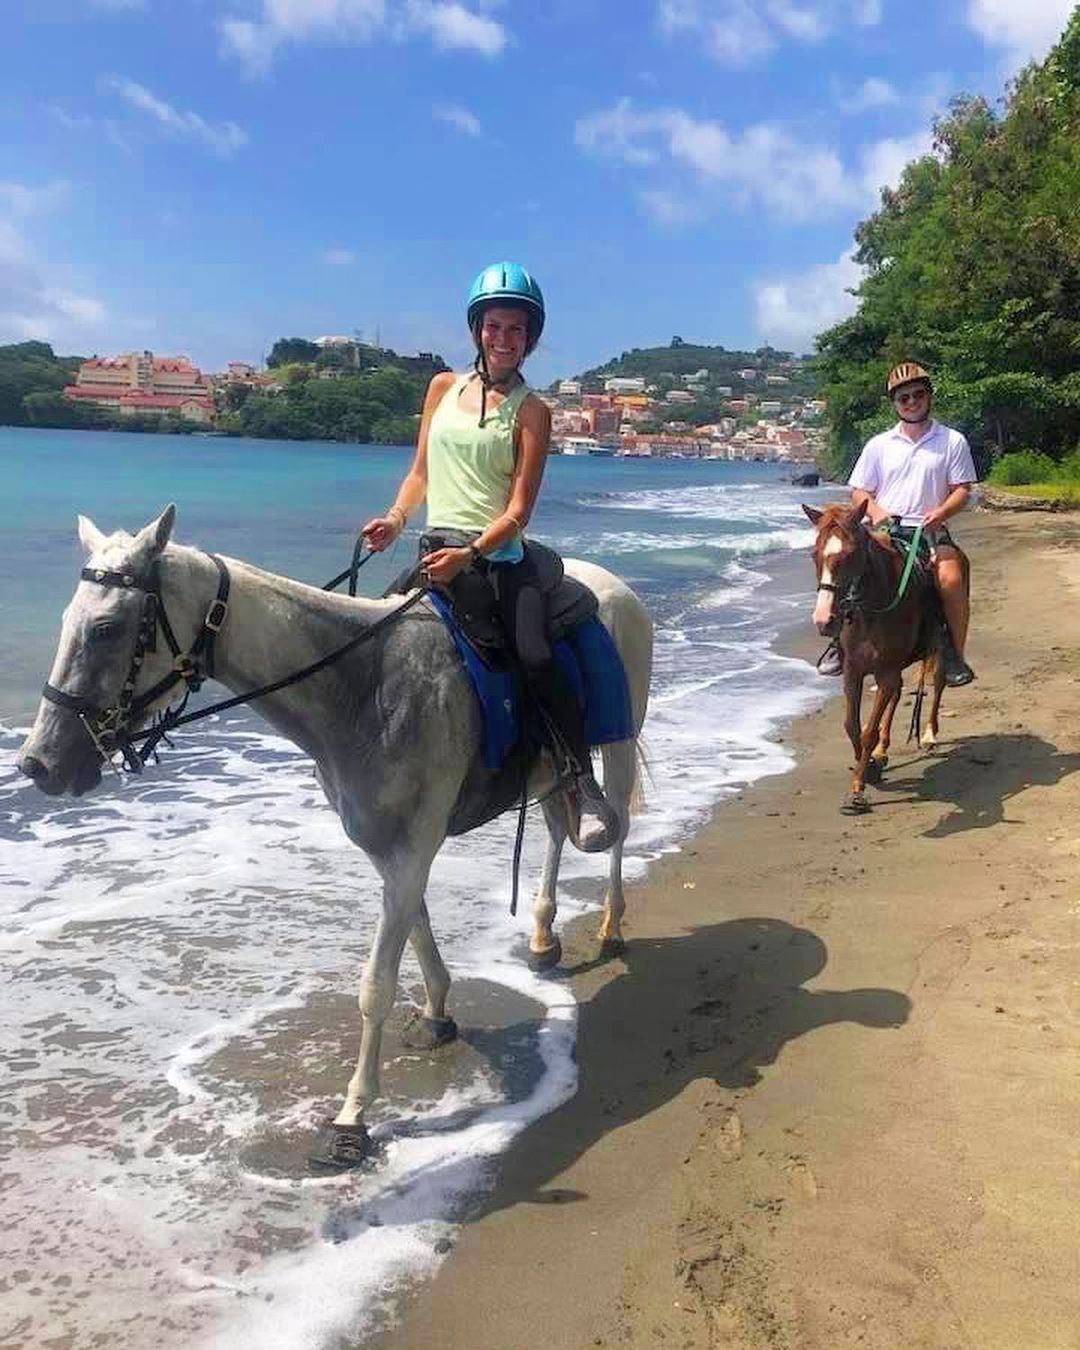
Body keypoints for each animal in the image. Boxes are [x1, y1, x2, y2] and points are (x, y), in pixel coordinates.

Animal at [16, 505, 653, 1167]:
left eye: (107, 628)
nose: (40, 763)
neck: (362, 688)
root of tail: (612, 585)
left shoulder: (410, 851)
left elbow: (376, 983)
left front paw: (352, 1117)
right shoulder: (389, 851)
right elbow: (418, 933)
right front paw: (437, 1013)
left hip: (619, 742)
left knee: (618, 830)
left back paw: (611, 923)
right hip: (549, 772)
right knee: (555, 831)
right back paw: (543, 935)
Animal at [803, 501, 953, 815]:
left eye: (850, 554)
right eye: (814, 554)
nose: (824, 620)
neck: (872, 610)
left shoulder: (885, 672)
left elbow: (868, 730)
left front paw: (857, 791)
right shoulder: (853, 671)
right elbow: (852, 725)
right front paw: (871, 765)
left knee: (938, 682)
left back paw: (929, 734)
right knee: (897, 694)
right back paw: (883, 752)